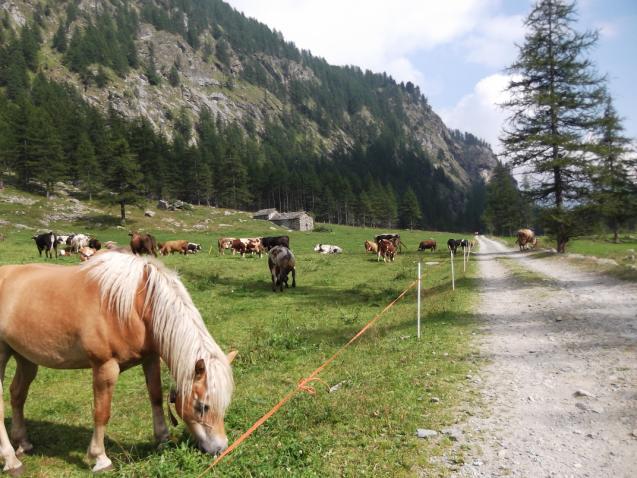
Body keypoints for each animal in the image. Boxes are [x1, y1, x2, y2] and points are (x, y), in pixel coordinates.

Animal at [0, 252, 236, 472]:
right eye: (202, 406)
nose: (220, 449)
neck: (135, 305)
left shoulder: (150, 359)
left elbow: (155, 397)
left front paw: (163, 439)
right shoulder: (105, 367)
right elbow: (102, 412)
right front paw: (100, 458)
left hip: (25, 358)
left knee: (17, 394)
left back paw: (23, 443)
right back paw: (11, 460)